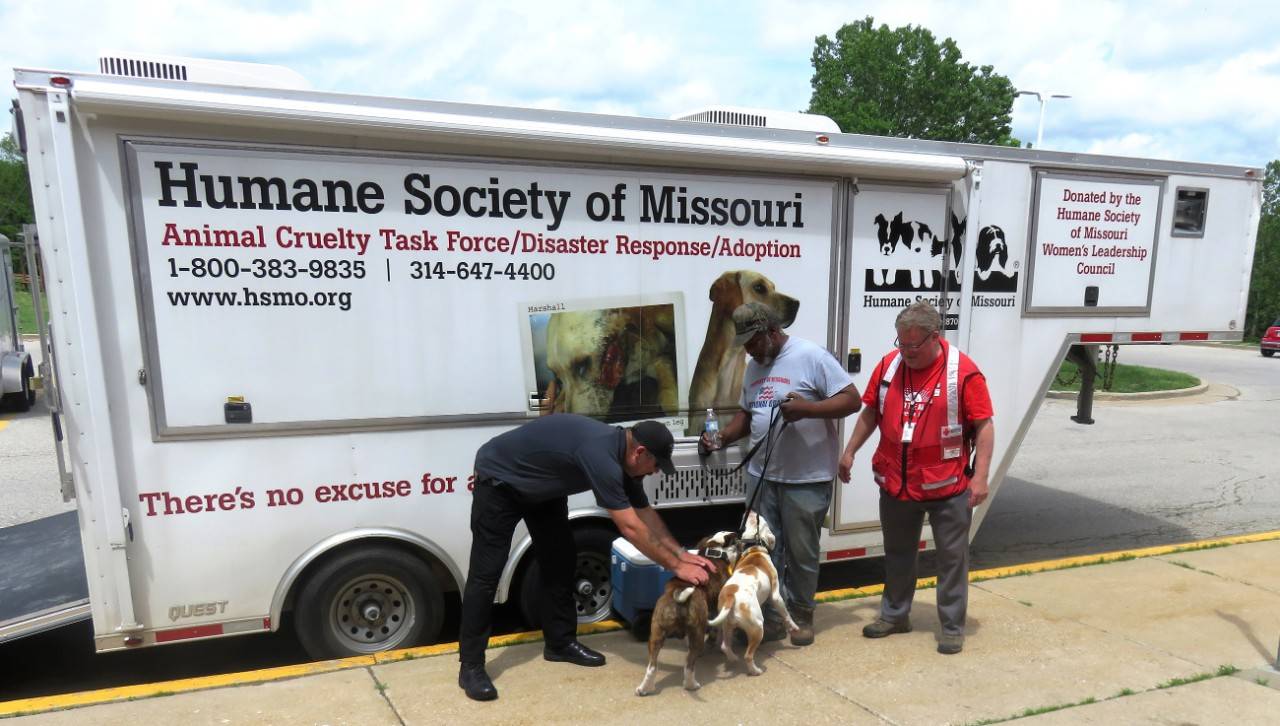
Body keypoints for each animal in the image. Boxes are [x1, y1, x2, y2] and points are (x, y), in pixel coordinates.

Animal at [632, 530, 737, 696]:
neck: (713, 552)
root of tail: (679, 595)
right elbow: (717, 628)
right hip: (697, 634)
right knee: (688, 665)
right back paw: (691, 685)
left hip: (656, 634)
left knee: (652, 666)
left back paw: (644, 688)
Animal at [706, 512, 793, 676]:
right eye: (764, 521)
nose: (753, 512)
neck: (755, 549)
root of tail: (731, 596)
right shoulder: (776, 596)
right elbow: (786, 614)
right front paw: (794, 627)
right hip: (757, 627)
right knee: (748, 655)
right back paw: (755, 670)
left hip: (727, 625)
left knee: (725, 646)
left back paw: (733, 658)